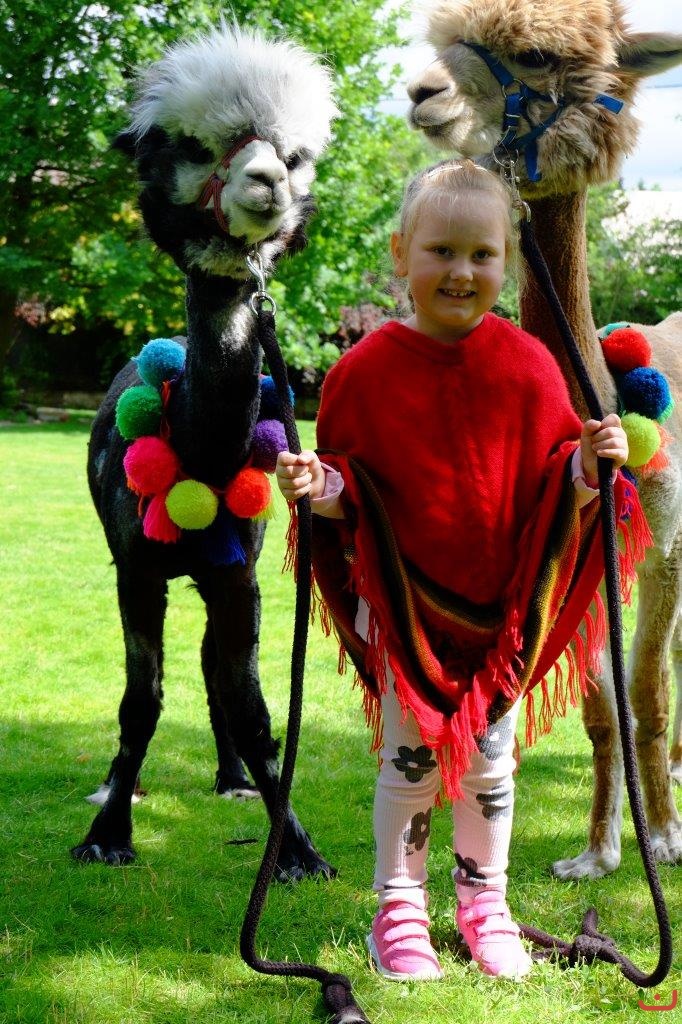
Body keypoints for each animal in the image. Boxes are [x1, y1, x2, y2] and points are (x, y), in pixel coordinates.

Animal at [72, 24, 338, 881]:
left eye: (292, 156)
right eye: (193, 147)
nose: (266, 182)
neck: (196, 448)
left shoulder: (236, 575)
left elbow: (249, 704)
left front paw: (296, 850)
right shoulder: (137, 569)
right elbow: (140, 700)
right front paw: (109, 833)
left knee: (212, 670)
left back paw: (229, 779)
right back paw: (115, 785)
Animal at [406, 0, 682, 878]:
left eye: (532, 54)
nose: (421, 93)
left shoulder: (664, 545)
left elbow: (648, 694)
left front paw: (665, 838)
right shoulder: (581, 563)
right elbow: (604, 711)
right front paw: (598, 852)